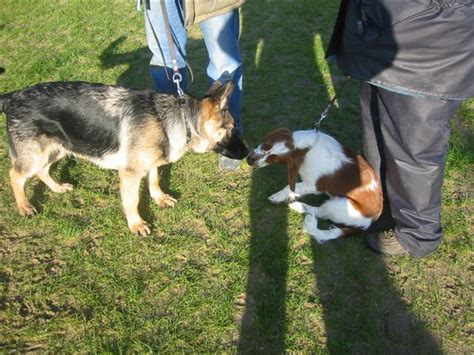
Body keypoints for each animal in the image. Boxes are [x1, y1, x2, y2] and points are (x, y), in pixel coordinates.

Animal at [0, 81, 250, 236]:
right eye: (232, 128)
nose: (248, 154)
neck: (181, 119)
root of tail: (13, 96)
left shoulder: (150, 163)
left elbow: (154, 180)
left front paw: (159, 198)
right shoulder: (130, 173)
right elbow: (132, 200)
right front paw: (136, 223)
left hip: (58, 148)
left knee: (42, 171)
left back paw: (58, 188)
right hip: (36, 155)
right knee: (15, 175)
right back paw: (24, 206)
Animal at [246, 129, 384, 243]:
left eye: (274, 159)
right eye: (265, 145)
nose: (249, 160)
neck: (307, 149)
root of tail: (367, 225)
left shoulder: (314, 186)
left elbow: (290, 187)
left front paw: (277, 196)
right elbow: (293, 188)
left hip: (339, 204)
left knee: (320, 212)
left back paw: (299, 206)